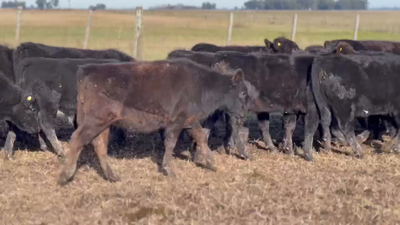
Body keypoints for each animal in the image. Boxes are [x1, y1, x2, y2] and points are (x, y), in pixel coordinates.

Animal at [57, 59, 258, 185]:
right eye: (243, 93)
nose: (243, 114)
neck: (202, 84)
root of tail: (87, 70)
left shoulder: (189, 120)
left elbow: (201, 136)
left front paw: (210, 162)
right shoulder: (176, 122)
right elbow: (171, 143)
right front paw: (169, 170)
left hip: (104, 124)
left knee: (99, 145)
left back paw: (112, 176)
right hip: (96, 120)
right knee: (78, 139)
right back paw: (65, 176)